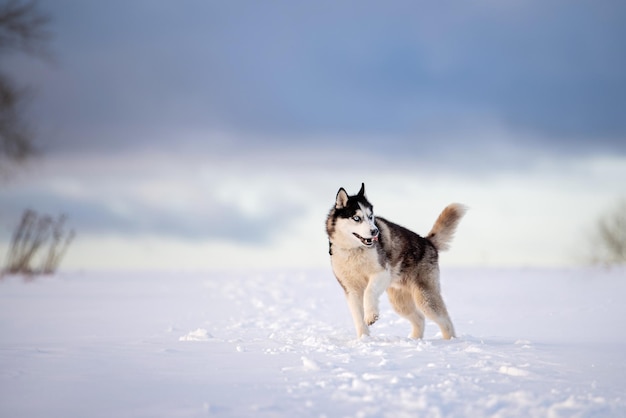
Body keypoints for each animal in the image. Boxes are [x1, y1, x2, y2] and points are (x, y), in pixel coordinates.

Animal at [326, 184, 464, 340]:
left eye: (370, 216)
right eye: (356, 218)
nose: (375, 231)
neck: (354, 250)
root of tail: (427, 241)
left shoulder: (382, 272)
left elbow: (369, 291)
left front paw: (371, 315)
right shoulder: (350, 289)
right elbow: (358, 317)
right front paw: (363, 339)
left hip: (425, 297)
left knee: (445, 320)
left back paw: (450, 341)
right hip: (399, 301)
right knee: (419, 318)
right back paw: (414, 340)